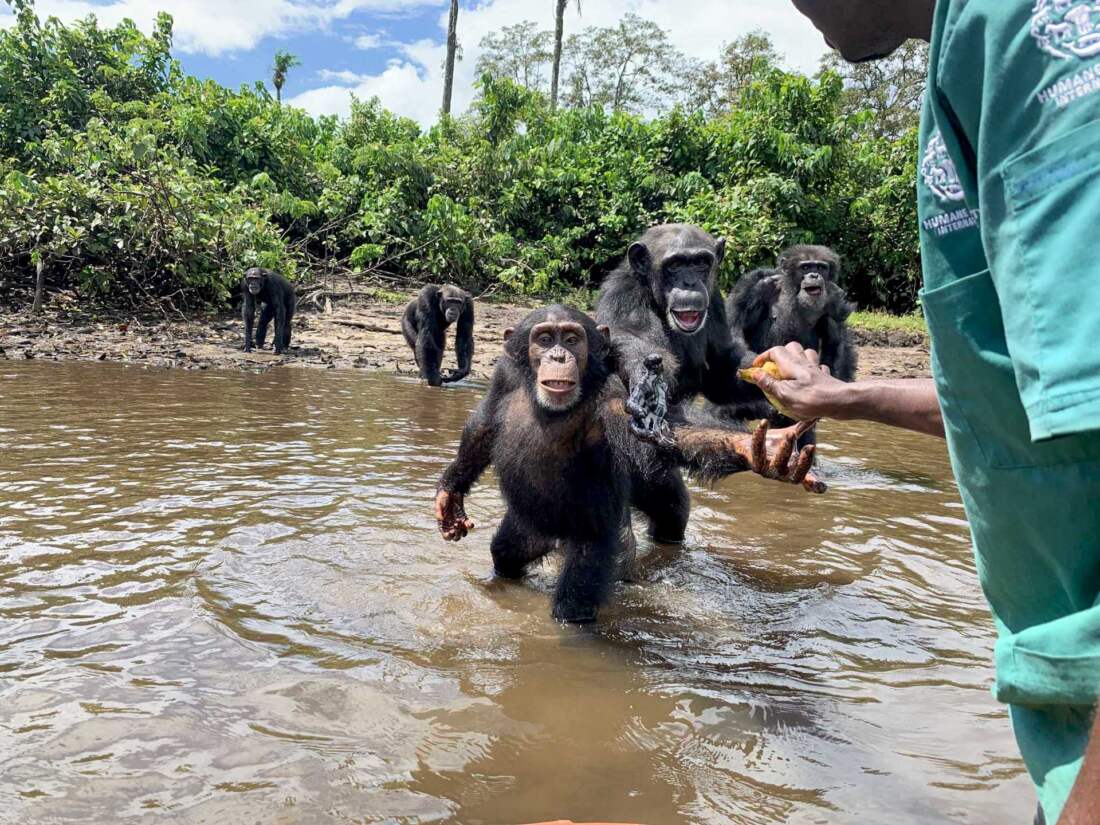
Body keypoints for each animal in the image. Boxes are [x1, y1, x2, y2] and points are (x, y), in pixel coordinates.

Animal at [433, 308, 822, 624]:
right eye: (544, 339)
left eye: (571, 339)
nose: (558, 354)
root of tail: (554, 539)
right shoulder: (504, 375)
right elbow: (485, 425)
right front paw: (449, 496)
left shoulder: (614, 400)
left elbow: (665, 434)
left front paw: (764, 449)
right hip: (527, 528)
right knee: (505, 555)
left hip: (597, 542)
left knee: (574, 603)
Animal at [726, 244, 853, 433]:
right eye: (805, 267)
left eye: (821, 267)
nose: (814, 275)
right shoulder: (753, 286)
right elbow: (735, 326)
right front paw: (753, 364)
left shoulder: (835, 299)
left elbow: (837, 342)